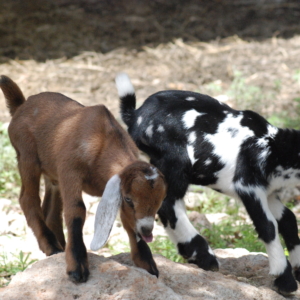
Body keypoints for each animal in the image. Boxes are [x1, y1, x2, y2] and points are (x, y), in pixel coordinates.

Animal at [0, 75, 166, 284]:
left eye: (160, 201)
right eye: (129, 199)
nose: (147, 231)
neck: (102, 142)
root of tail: (20, 105)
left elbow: (128, 220)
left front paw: (147, 263)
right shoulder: (70, 171)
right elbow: (76, 210)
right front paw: (77, 267)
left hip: (52, 175)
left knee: (50, 210)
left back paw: (59, 246)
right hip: (27, 156)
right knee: (27, 199)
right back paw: (51, 245)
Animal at [116, 73, 300, 296]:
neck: (273, 148)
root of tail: (135, 115)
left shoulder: (269, 193)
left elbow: (288, 220)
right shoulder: (248, 186)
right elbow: (268, 226)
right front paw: (285, 280)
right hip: (174, 160)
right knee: (168, 204)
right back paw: (204, 256)